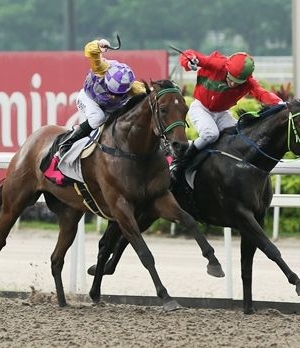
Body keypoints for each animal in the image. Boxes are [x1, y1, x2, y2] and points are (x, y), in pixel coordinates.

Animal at [0, 79, 224, 310]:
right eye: (163, 109)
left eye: (185, 109)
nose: (181, 146)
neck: (133, 151)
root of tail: (32, 140)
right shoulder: (121, 207)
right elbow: (144, 252)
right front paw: (166, 296)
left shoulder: (159, 198)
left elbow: (188, 220)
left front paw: (214, 263)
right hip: (14, 203)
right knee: (4, 238)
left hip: (70, 215)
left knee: (56, 259)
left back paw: (62, 302)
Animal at [88, 99, 300, 314]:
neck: (245, 160)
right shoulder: (242, 215)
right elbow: (270, 248)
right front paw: (296, 282)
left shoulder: (257, 217)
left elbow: (247, 263)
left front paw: (248, 308)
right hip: (126, 207)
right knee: (107, 243)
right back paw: (97, 286)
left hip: (148, 212)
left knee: (122, 241)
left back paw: (102, 273)